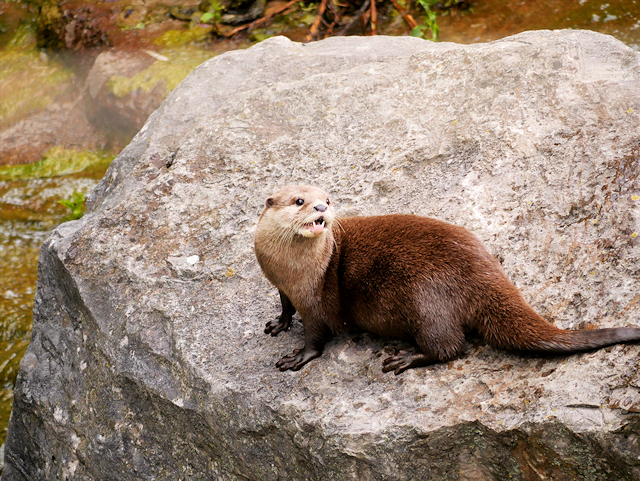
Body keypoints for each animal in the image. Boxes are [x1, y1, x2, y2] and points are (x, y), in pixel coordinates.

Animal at [254, 185, 640, 376]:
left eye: (327, 199)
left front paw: (297, 358)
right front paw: (279, 323)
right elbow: (285, 306)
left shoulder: (315, 299)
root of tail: (486, 271)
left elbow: (317, 336)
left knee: (450, 347)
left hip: (425, 301)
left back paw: (405, 358)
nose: (321, 208)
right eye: (300, 200)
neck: (291, 269)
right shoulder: (280, 284)